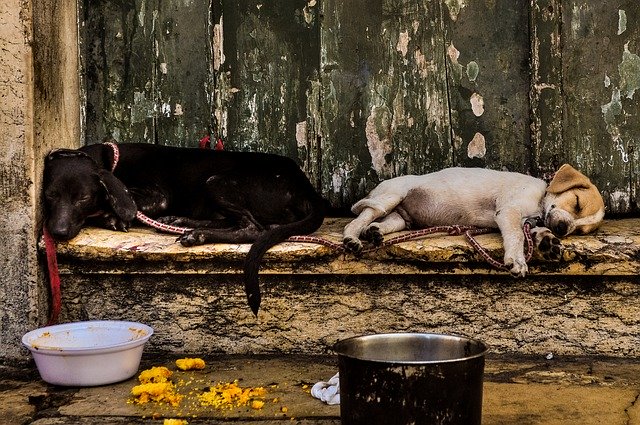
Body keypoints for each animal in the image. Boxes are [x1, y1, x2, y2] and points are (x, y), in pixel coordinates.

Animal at [42, 144, 324, 314]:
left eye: (83, 198)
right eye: (50, 195)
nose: (57, 232)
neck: (111, 160)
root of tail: (305, 185)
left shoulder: (157, 197)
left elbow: (122, 205)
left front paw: (114, 216)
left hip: (217, 181)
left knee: (251, 228)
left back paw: (195, 234)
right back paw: (181, 224)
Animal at [342, 162, 604, 274]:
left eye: (579, 231)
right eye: (577, 203)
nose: (561, 229)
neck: (540, 202)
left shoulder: (527, 220)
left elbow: (531, 231)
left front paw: (547, 241)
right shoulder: (508, 212)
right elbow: (517, 236)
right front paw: (517, 260)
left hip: (401, 218)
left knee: (383, 223)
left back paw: (375, 233)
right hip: (390, 197)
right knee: (360, 218)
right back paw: (351, 239)